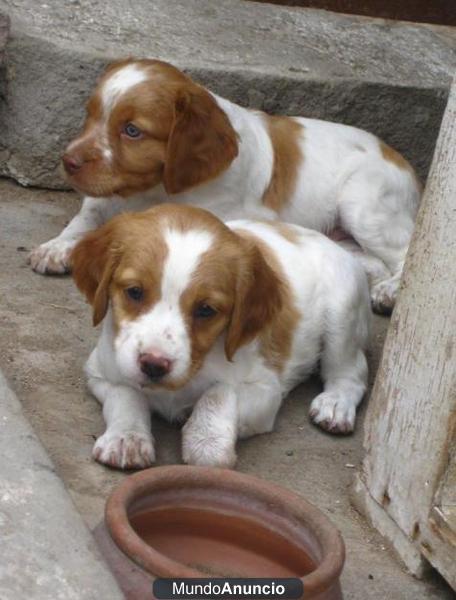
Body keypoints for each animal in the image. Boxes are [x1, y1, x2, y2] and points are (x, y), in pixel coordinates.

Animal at [29, 58, 420, 316]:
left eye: (132, 131)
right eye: (90, 114)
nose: (68, 161)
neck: (152, 188)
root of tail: (409, 170)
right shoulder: (105, 195)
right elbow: (86, 216)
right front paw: (57, 247)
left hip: (365, 205)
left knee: (402, 252)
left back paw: (390, 291)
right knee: (371, 261)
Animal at [71, 204, 370, 472]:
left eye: (205, 309)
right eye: (134, 292)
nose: (154, 365)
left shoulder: (265, 390)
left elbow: (219, 393)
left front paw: (206, 443)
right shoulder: (100, 372)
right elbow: (126, 394)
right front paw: (126, 438)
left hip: (341, 316)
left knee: (352, 373)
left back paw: (335, 404)